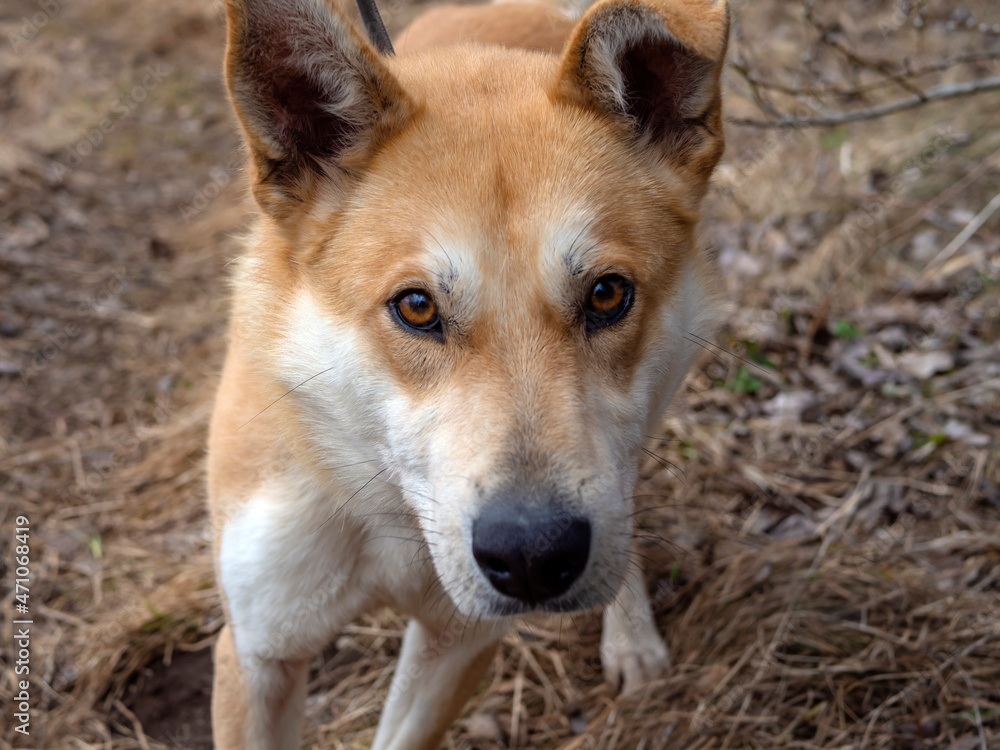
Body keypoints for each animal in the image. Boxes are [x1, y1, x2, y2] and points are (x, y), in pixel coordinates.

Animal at [209, 0, 728, 748]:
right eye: (417, 306)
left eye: (607, 294)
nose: (535, 555)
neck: (391, 510)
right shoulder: (257, 655)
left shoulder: (459, 643)